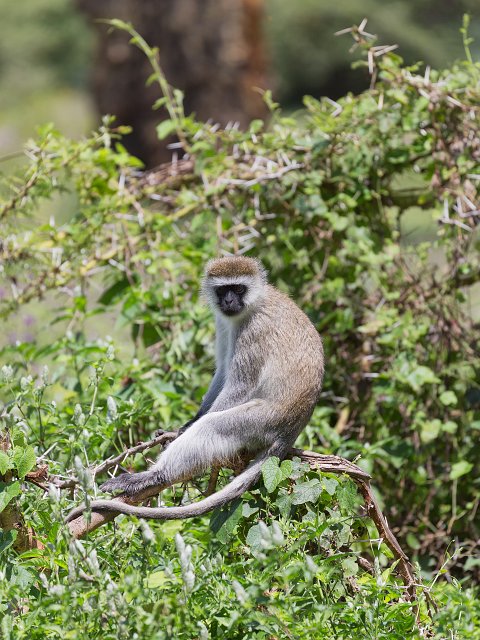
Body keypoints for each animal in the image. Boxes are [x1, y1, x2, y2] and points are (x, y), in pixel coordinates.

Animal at [66, 258, 322, 524]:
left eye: (238, 288)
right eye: (223, 290)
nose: (229, 301)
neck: (255, 303)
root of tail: (292, 428)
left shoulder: (254, 331)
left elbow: (241, 384)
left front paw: (186, 430)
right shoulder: (223, 323)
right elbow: (222, 372)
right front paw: (186, 423)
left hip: (265, 420)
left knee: (213, 426)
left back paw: (153, 476)